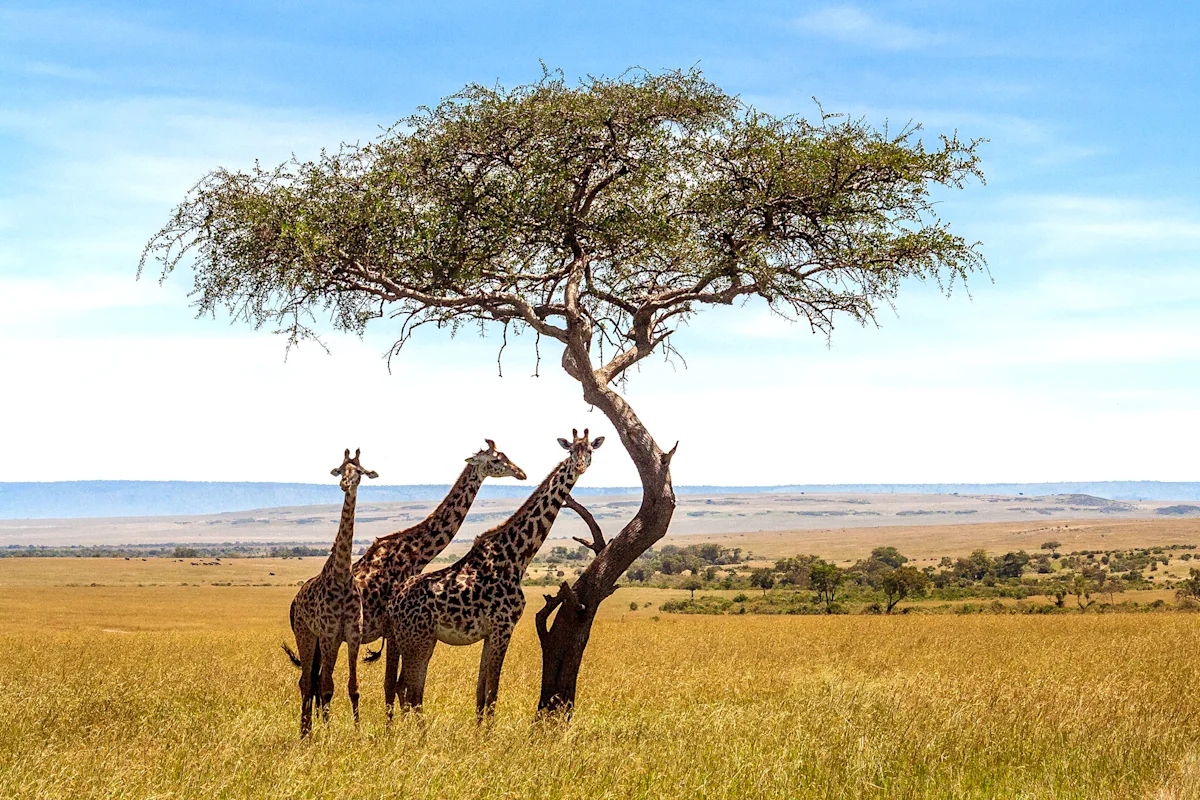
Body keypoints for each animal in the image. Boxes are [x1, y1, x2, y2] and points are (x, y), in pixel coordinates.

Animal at [283, 448, 378, 738]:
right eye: (340, 470)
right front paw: (327, 734)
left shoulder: (351, 633)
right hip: (306, 634)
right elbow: (326, 687)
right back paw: (305, 733)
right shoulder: (326, 632)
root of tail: (294, 602)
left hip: (327, 641)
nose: (346, 484)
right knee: (307, 681)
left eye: (359, 472)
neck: (341, 576)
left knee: (314, 679)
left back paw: (309, 729)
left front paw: (358, 733)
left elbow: (352, 687)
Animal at [351, 440, 526, 707]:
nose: (521, 473)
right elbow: (392, 684)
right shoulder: (392, 629)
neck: (416, 551)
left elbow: (399, 685)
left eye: (507, 456)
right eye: (496, 460)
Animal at [385, 429, 603, 722]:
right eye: (571, 451)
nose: (579, 466)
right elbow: (492, 693)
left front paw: (478, 731)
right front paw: (489, 733)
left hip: (415, 639)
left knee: (404, 688)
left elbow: (481, 693)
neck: (518, 555)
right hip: (417, 639)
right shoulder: (503, 627)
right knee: (411, 692)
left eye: (589, 450)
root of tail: (393, 605)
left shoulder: (490, 633)